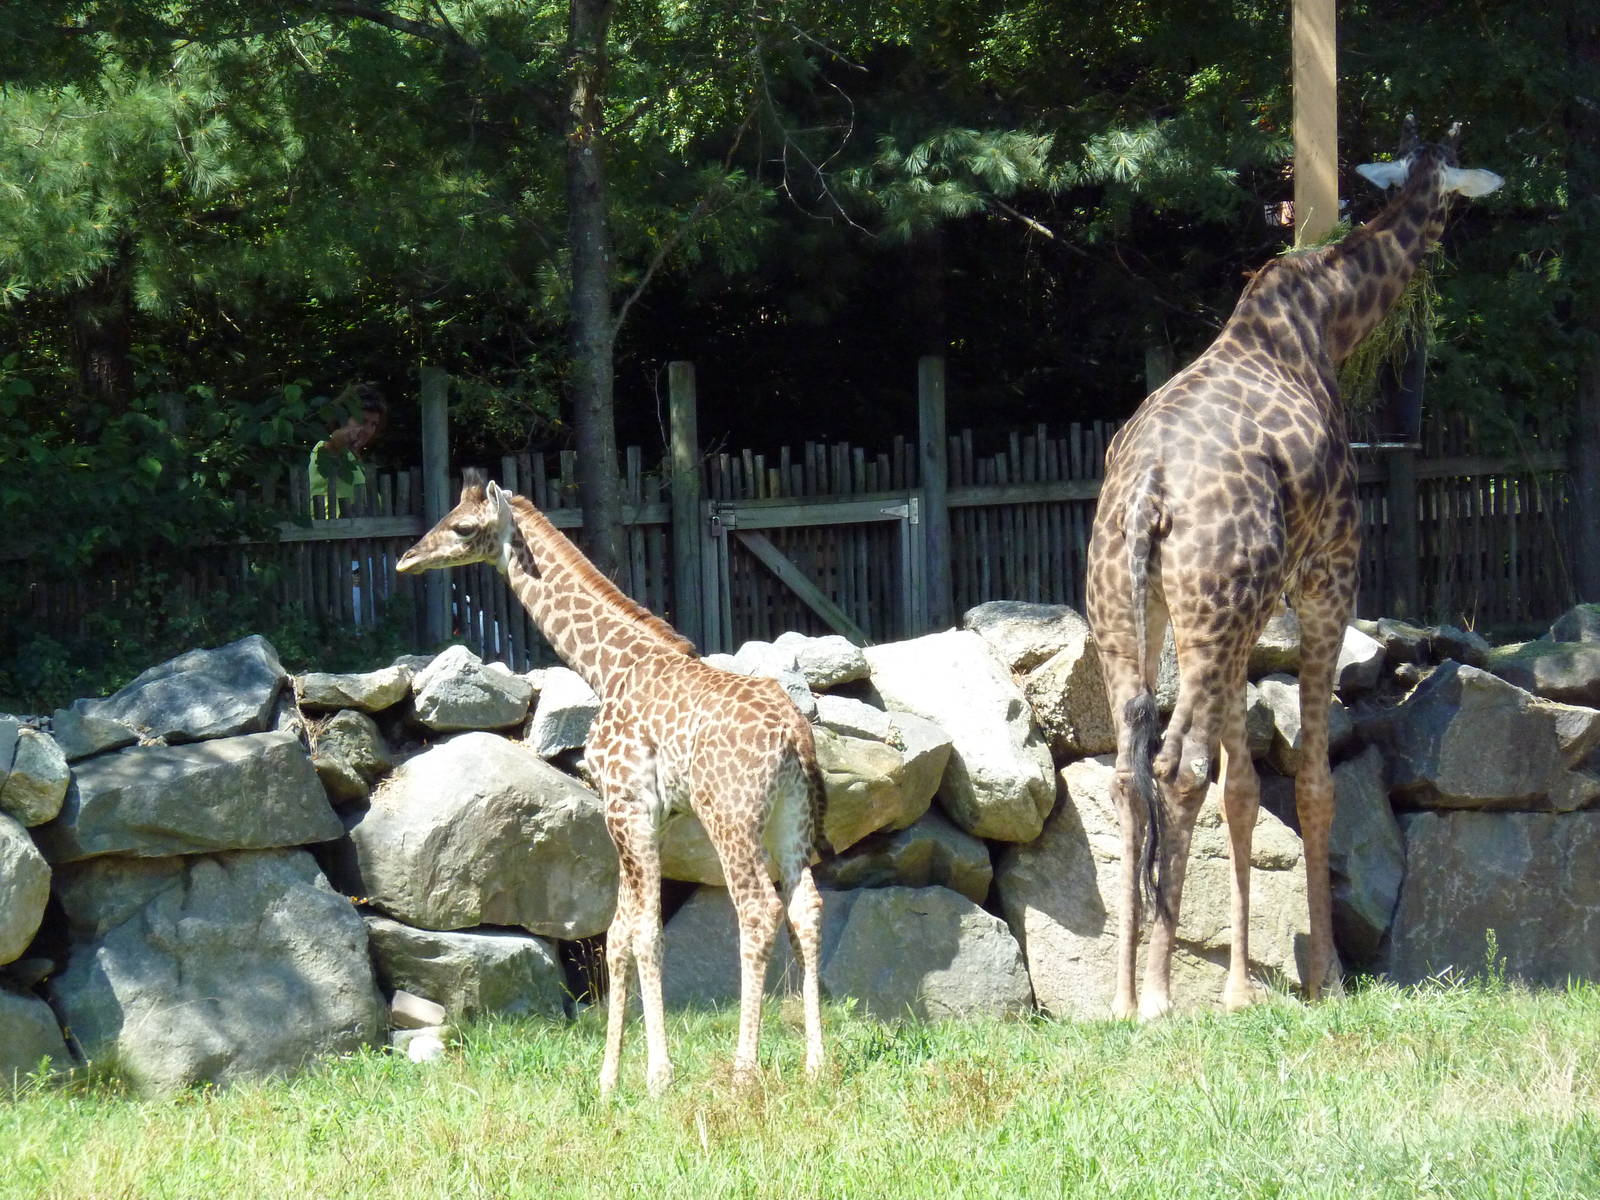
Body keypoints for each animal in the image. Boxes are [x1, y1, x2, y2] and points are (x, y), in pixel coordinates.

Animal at [396, 470, 826, 1095]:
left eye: (461, 527)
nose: (407, 559)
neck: (608, 668)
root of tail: (795, 735)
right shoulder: (650, 817)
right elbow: (619, 931)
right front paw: (607, 1078)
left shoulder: (625, 804)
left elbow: (642, 931)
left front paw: (657, 1075)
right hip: (790, 819)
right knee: (805, 907)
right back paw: (817, 1063)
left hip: (731, 816)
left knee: (756, 910)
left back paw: (744, 1071)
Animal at [1085, 120, 1502, 1019]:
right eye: (1456, 193)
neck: (1330, 318)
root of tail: (1148, 493)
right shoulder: (1327, 576)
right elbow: (1312, 779)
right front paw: (1329, 977)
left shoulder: (1251, 614)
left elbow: (1246, 788)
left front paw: (1242, 988)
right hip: (1214, 612)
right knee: (1178, 766)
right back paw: (1161, 996)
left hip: (1137, 615)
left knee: (1132, 770)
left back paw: (1123, 997)